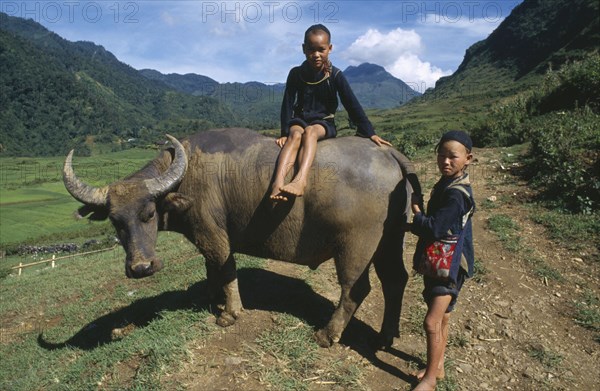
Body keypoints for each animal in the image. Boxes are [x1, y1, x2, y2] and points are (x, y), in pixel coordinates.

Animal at [61, 129, 418, 350]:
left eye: (149, 213)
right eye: (115, 221)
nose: (140, 268)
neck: (186, 176)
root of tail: (389, 155)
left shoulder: (213, 236)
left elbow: (225, 269)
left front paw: (229, 313)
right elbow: (211, 271)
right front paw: (212, 300)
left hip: (355, 249)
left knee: (356, 289)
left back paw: (328, 335)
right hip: (389, 243)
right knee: (395, 280)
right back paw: (386, 336)